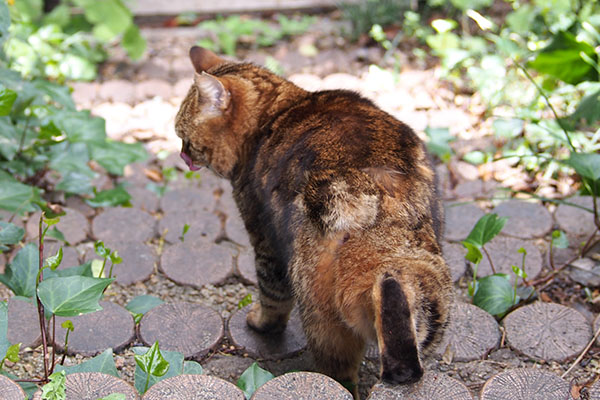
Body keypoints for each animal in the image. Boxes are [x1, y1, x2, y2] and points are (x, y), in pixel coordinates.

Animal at [176, 47, 452, 396]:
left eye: (184, 137)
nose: (181, 156)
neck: (278, 111)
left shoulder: (265, 241)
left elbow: (272, 297)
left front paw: (260, 323)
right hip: (428, 291)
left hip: (319, 314)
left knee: (340, 375)